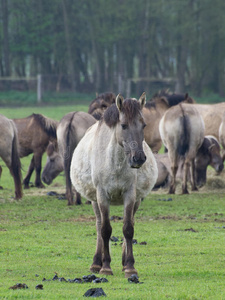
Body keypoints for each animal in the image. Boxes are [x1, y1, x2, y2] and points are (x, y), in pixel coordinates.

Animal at [71, 93, 158, 276]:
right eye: (123, 125)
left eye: (144, 125)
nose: (138, 158)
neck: (115, 163)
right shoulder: (102, 196)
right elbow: (105, 229)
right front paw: (106, 267)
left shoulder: (130, 195)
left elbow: (128, 228)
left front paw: (130, 266)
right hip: (94, 201)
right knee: (98, 225)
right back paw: (96, 263)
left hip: (137, 200)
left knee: (131, 221)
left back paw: (124, 262)